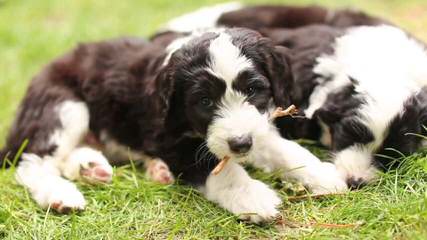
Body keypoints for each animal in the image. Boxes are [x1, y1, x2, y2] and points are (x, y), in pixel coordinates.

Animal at [0, 27, 348, 221]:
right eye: (204, 101)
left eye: (253, 90)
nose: (240, 145)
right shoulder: (168, 138)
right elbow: (220, 171)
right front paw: (253, 197)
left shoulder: (255, 125)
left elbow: (280, 147)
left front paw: (323, 174)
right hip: (63, 106)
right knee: (33, 161)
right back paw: (61, 195)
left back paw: (94, 168)